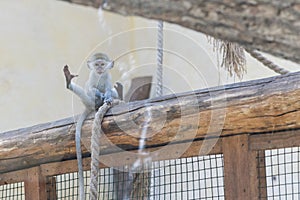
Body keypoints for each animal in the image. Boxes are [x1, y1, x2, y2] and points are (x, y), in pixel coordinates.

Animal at [63, 52, 118, 199]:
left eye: (102, 64)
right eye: (96, 64)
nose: (99, 69)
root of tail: (89, 107)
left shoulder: (108, 76)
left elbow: (109, 89)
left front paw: (108, 96)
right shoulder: (93, 77)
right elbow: (92, 88)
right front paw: (100, 93)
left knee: (113, 92)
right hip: (88, 101)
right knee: (88, 93)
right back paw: (69, 83)